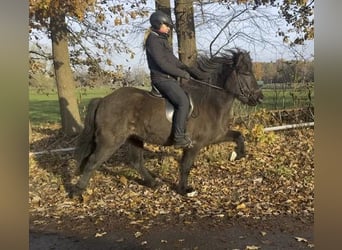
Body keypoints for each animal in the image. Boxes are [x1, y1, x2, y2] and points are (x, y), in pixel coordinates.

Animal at [72, 48, 264, 197]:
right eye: (246, 73)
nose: (259, 98)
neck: (210, 101)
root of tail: (103, 100)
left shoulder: (216, 136)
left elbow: (239, 135)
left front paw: (237, 155)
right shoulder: (195, 144)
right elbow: (185, 166)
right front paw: (184, 190)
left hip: (134, 138)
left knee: (136, 162)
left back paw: (153, 183)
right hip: (110, 141)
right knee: (93, 162)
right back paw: (77, 192)